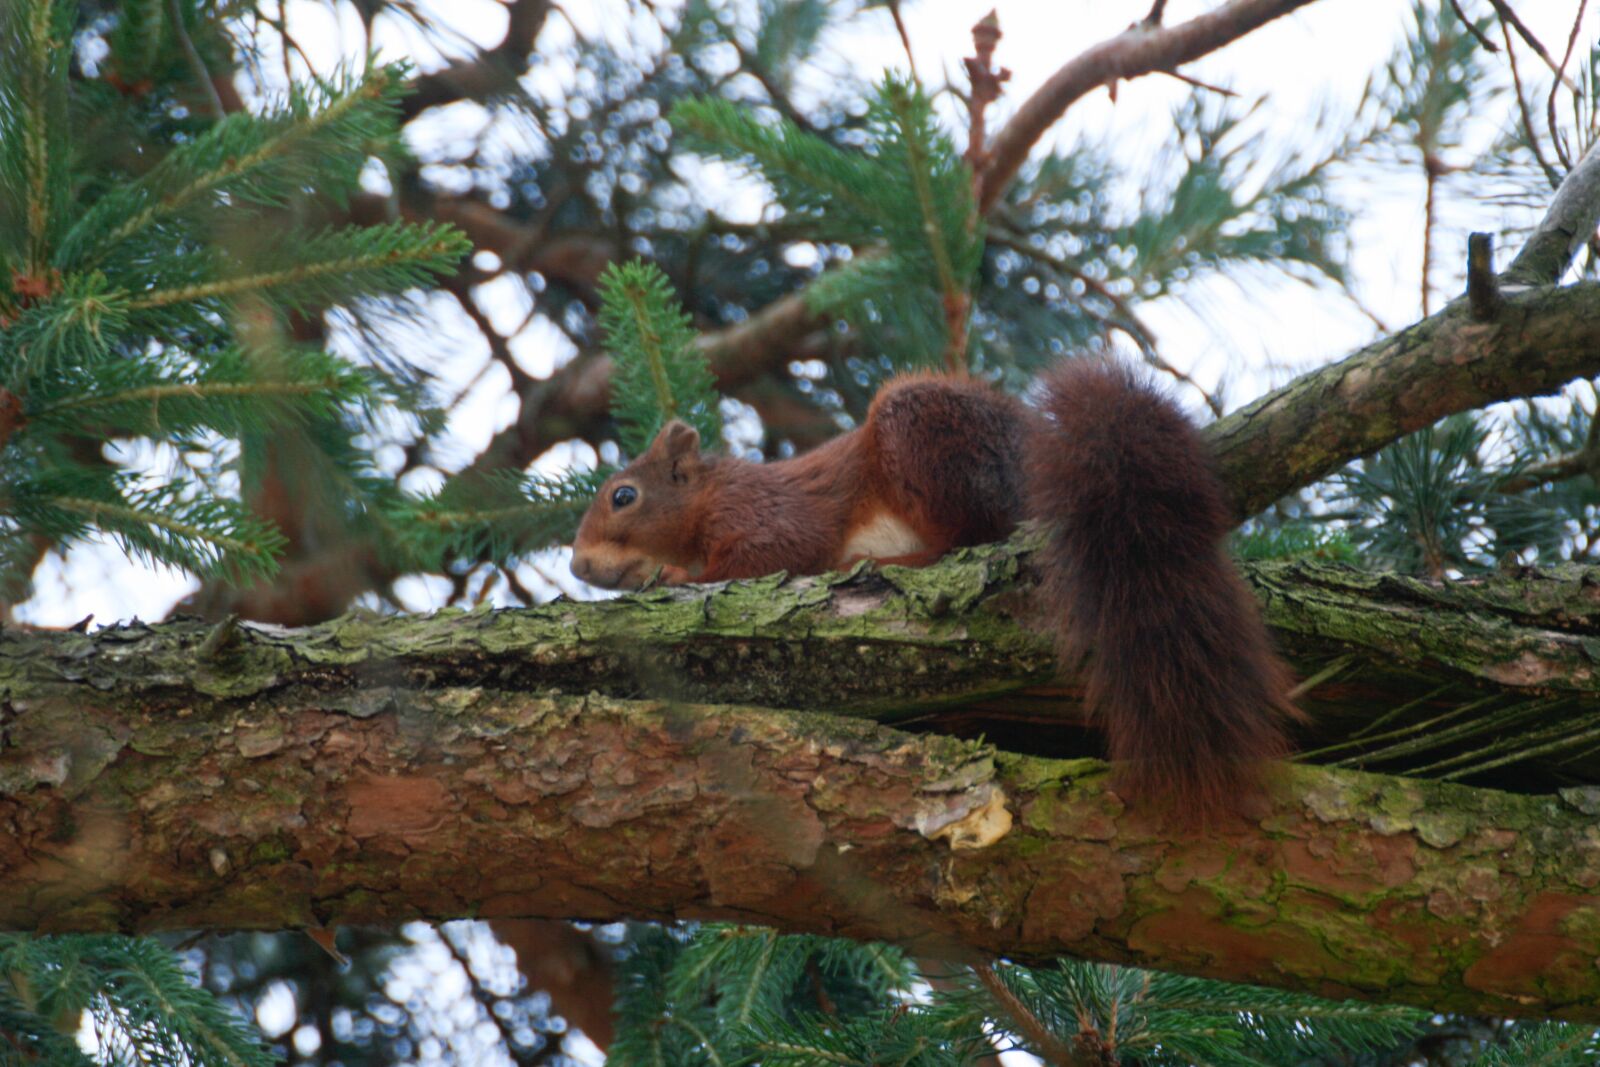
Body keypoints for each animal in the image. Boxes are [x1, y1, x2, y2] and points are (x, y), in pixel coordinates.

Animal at [571, 359, 1300, 817]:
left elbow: (764, 556)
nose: (576, 566)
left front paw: (673, 576)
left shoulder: (769, 515)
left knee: (971, 532)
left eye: (623, 496)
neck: (709, 498)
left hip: (924, 435)